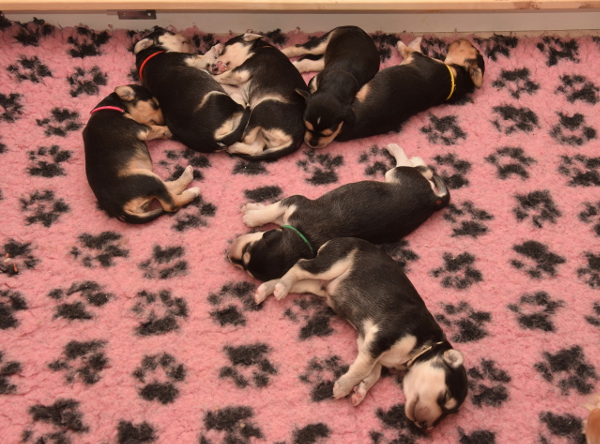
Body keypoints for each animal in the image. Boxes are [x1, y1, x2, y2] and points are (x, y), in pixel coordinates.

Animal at [83, 85, 199, 223]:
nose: (165, 119)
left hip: (148, 179)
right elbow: (160, 129)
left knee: (168, 188)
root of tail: (119, 210)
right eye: (155, 104)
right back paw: (192, 190)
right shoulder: (143, 129)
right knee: (171, 203)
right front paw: (170, 129)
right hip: (146, 178)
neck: (115, 106)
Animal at [228, 143, 449, 281]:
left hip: (397, 174)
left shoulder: (295, 202)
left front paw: (252, 216)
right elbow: (274, 212)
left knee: (415, 166)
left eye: (247, 252)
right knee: (425, 170)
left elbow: (272, 209)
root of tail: (433, 200)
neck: (303, 237)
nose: (229, 257)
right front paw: (253, 208)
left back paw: (399, 150)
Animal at [255, 236, 468, 429]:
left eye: (449, 413)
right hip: (333, 263)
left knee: (299, 279)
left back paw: (267, 289)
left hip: (317, 284)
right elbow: (363, 369)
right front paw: (344, 386)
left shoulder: (367, 342)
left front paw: (361, 391)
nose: (426, 427)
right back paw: (281, 287)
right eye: (444, 397)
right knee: (300, 266)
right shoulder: (381, 337)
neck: (425, 345)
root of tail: (337, 239)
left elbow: (373, 372)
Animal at [316, 37, 485, 147]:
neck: (458, 78)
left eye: (473, 47)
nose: (464, 38)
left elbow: (408, 48)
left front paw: (402, 42)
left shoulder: (416, 57)